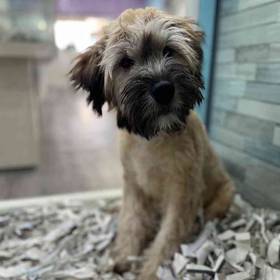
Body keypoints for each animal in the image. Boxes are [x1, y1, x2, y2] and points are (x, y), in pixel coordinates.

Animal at [69, 7, 235, 278]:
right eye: (126, 62)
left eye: (169, 50)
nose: (163, 89)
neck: (154, 139)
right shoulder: (134, 187)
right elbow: (131, 221)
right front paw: (123, 256)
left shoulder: (183, 195)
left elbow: (169, 235)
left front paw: (151, 269)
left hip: (223, 195)